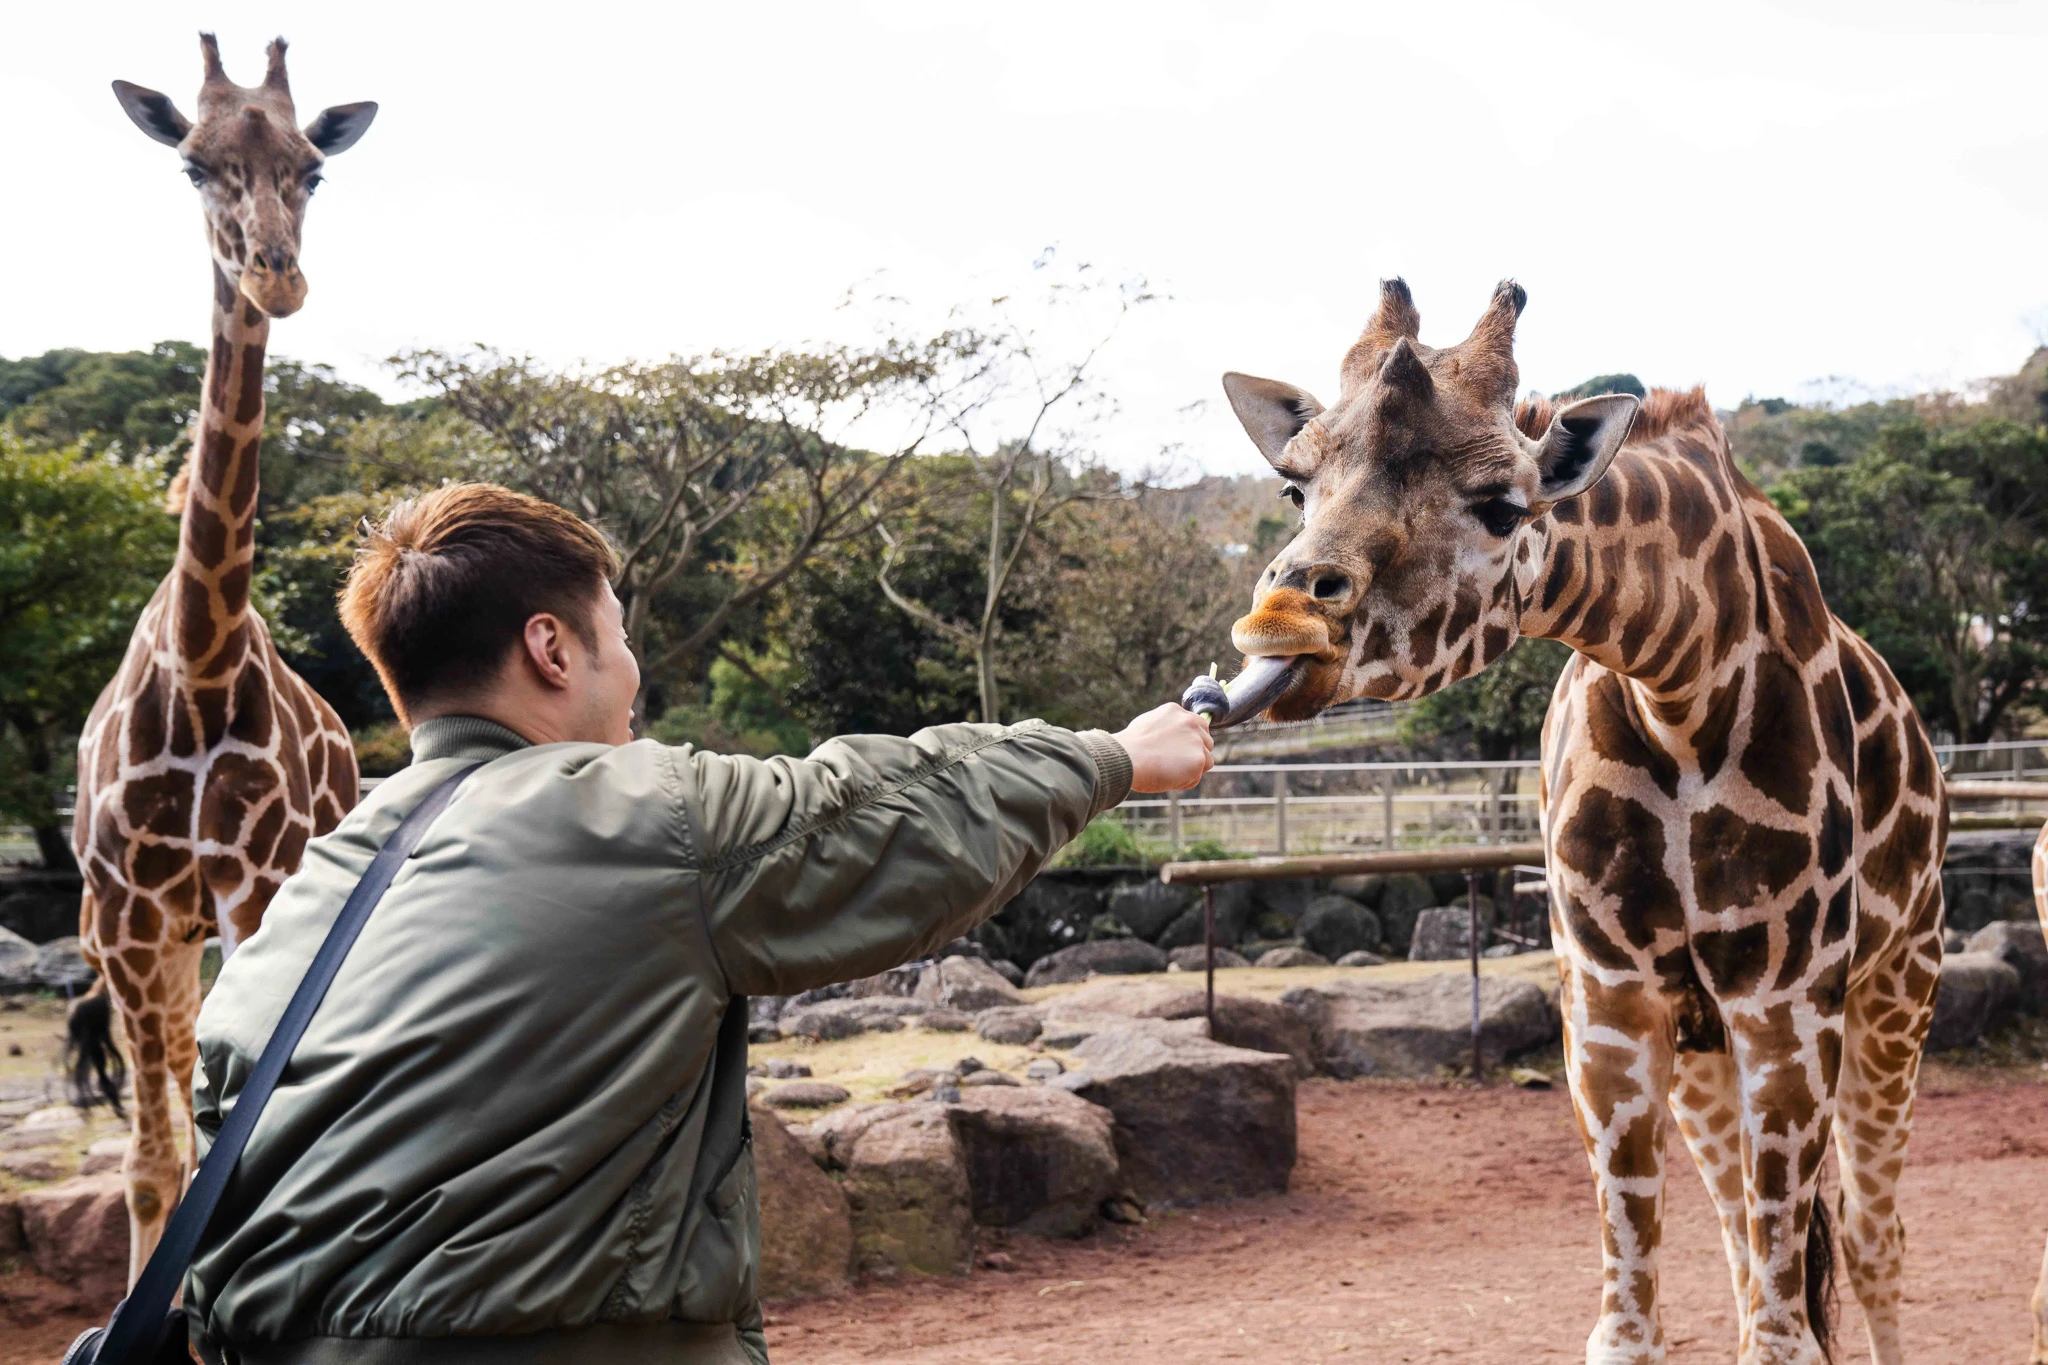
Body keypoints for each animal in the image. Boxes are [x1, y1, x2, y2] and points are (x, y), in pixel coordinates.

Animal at [1217, 279, 1944, 1365]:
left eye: (1500, 504)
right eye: (1293, 489)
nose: (1281, 621)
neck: (1678, 681)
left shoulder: (1786, 1000)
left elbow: (1786, 1331)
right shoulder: (1609, 1000)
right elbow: (1632, 1321)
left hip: (1897, 987)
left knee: (1867, 1232)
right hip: (1705, 1047)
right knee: (1744, 1239)